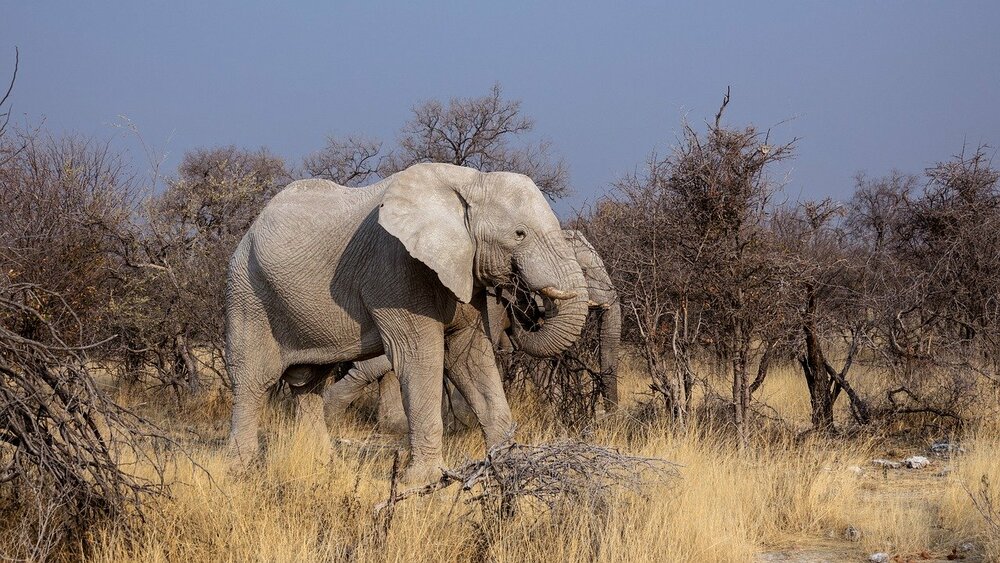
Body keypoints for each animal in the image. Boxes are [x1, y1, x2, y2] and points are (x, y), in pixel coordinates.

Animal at [223, 163, 588, 484]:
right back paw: (238, 470)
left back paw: (323, 465)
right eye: (519, 234)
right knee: (254, 380)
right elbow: (419, 356)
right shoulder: (396, 269)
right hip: (247, 293)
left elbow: (468, 357)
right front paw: (421, 480)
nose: (522, 307)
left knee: (309, 383)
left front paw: (507, 464)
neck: (471, 181)